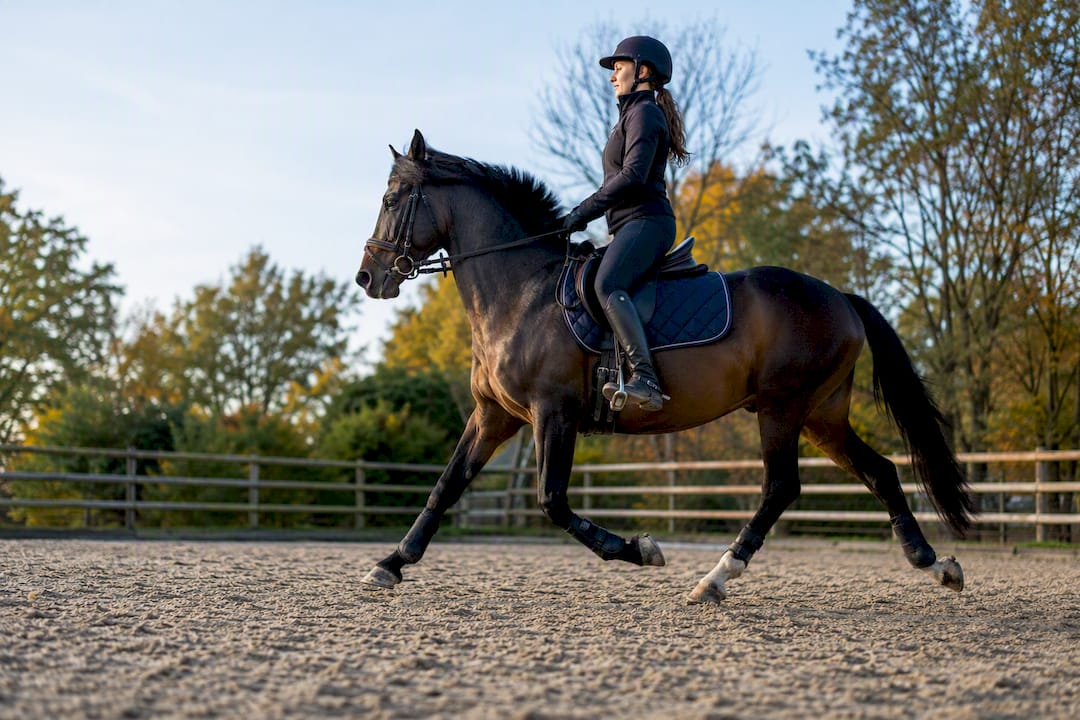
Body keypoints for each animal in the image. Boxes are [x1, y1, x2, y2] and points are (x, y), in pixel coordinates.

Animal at [355, 130, 976, 604]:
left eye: (392, 198)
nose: (368, 278)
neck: (521, 293)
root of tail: (840, 297)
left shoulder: (552, 412)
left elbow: (552, 502)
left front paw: (638, 550)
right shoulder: (494, 415)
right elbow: (446, 485)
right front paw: (391, 563)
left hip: (782, 407)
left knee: (781, 487)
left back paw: (716, 577)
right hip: (822, 415)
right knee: (881, 472)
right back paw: (934, 563)